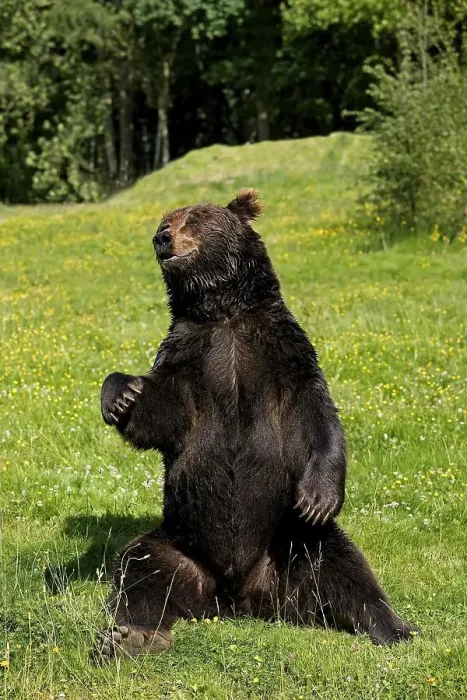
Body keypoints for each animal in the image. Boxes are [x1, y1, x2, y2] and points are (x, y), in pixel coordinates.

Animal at [94, 189, 417, 660]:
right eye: (165, 220)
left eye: (194, 218)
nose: (161, 238)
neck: (224, 312)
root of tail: (237, 596)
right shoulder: (191, 358)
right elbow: (162, 413)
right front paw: (121, 393)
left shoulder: (280, 354)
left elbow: (316, 416)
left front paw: (319, 496)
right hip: (181, 544)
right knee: (141, 568)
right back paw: (132, 635)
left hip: (288, 539)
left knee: (341, 563)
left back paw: (393, 626)